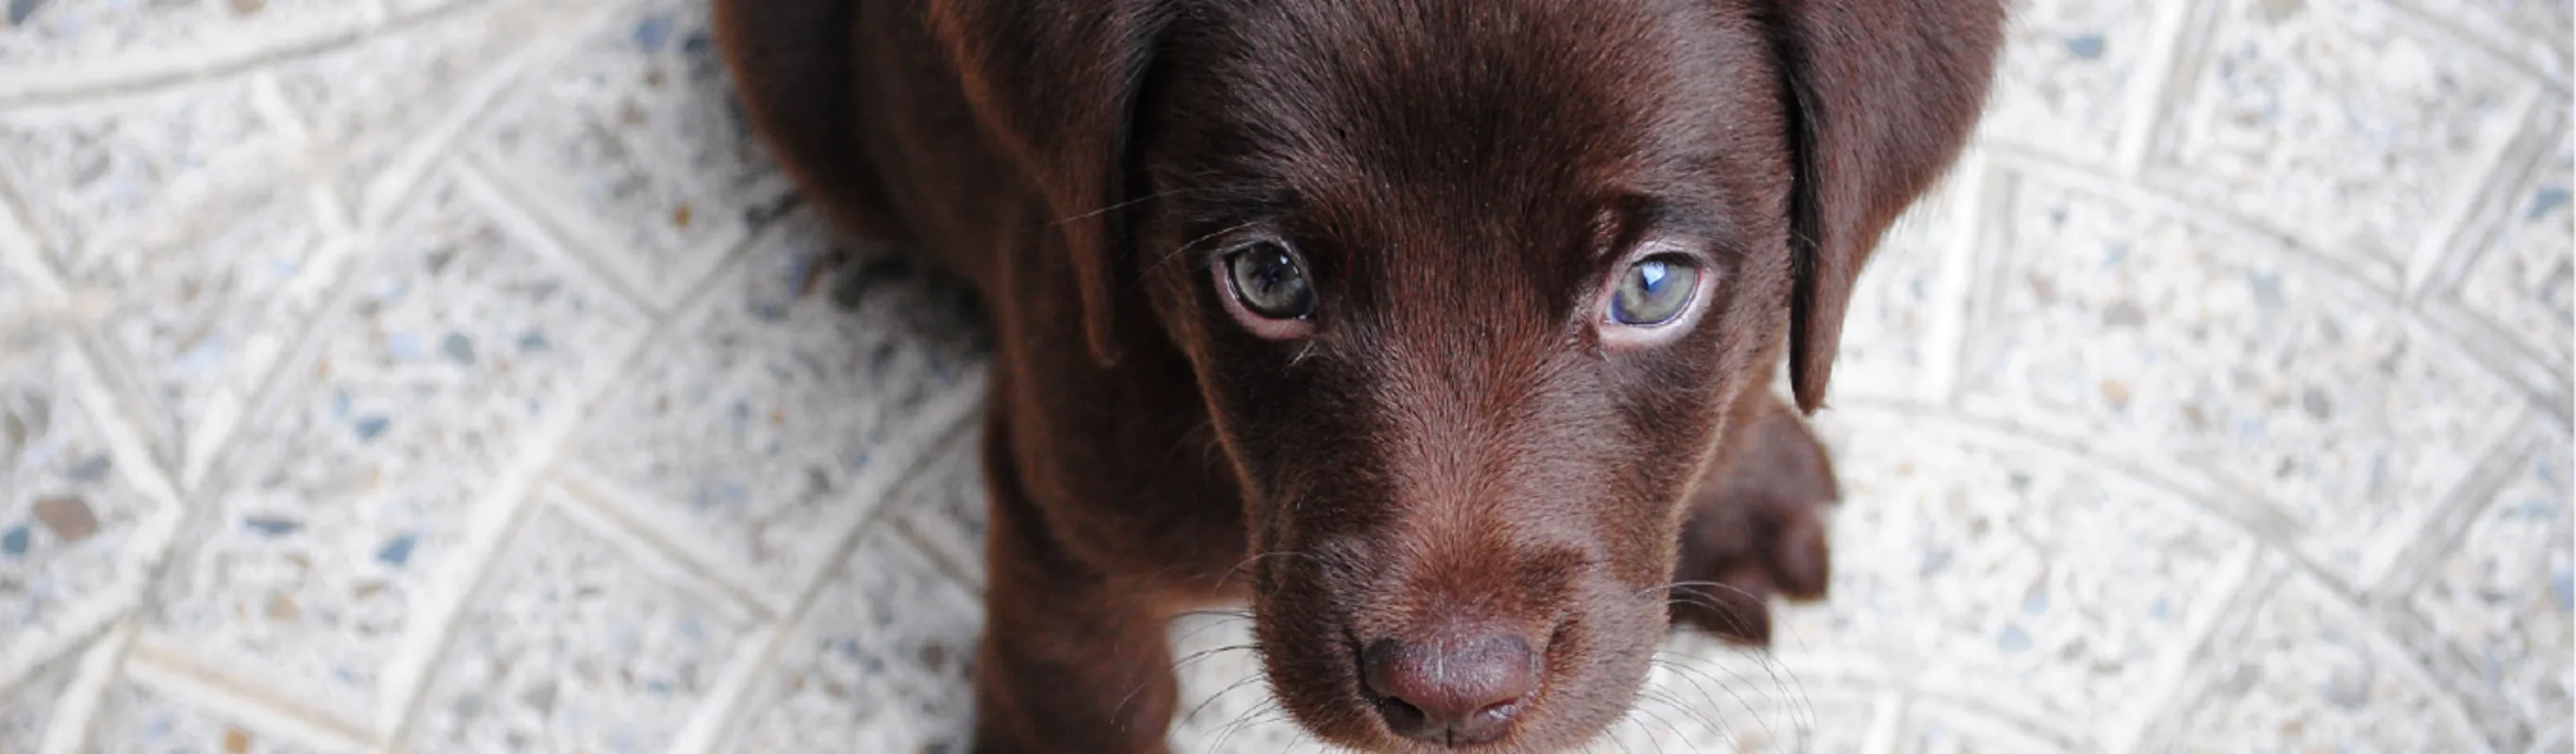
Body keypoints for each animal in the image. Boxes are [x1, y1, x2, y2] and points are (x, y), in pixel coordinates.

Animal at [716, 3, 1999, 746]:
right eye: (1266, 274)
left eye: (1650, 286)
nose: (1449, 695)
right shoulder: (1062, 499)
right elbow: (1080, 678)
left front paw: (1745, 481)